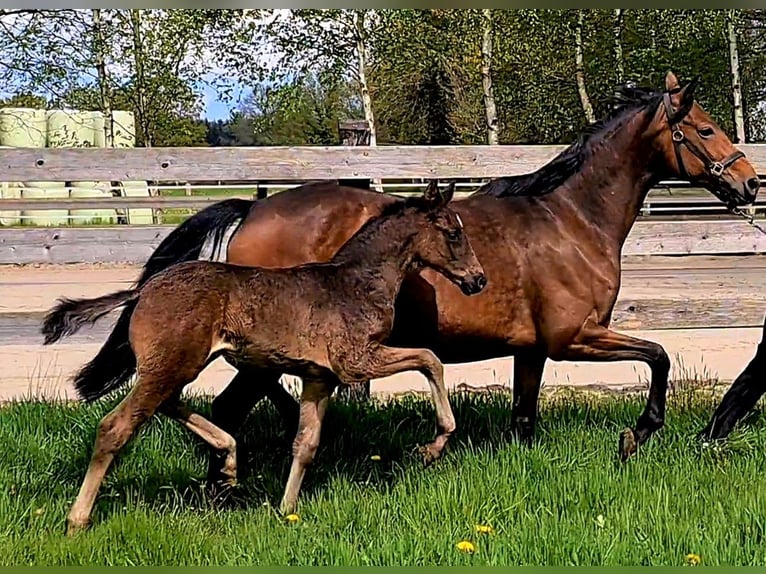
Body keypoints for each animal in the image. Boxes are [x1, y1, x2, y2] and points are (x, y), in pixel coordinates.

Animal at [43, 181, 486, 536]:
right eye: (452, 233)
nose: (478, 279)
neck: (356, 281)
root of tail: (143, 291)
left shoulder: (320, 378)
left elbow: (305, 443)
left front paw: (286, 509)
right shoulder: (357, 362)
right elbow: (429, 359)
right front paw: (434, 445)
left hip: (176, 367)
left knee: (170, 404)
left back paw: (229, 460)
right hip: (171, 366)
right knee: (115, 427)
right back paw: (78, 519)